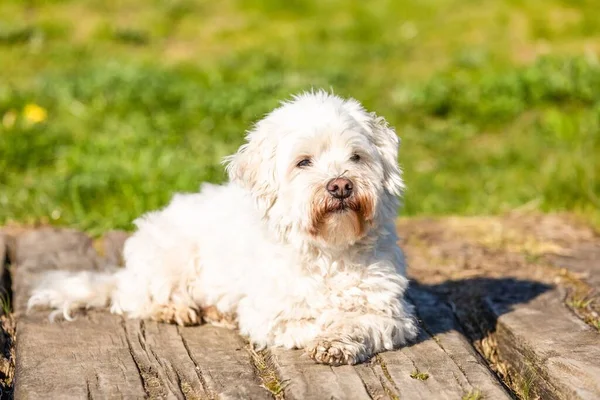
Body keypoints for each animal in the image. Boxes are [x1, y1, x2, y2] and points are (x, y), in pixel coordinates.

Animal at [27, 90, 418, 366]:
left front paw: (336, 341)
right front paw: (323, 332)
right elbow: (308, 321)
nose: (340, 185)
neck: (329, 253)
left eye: (356, 157)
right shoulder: (269, 315)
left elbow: (358, 321)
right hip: (171, 257)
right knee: (133, 299)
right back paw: (176, 308)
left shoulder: (393, 315)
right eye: (303, 162)